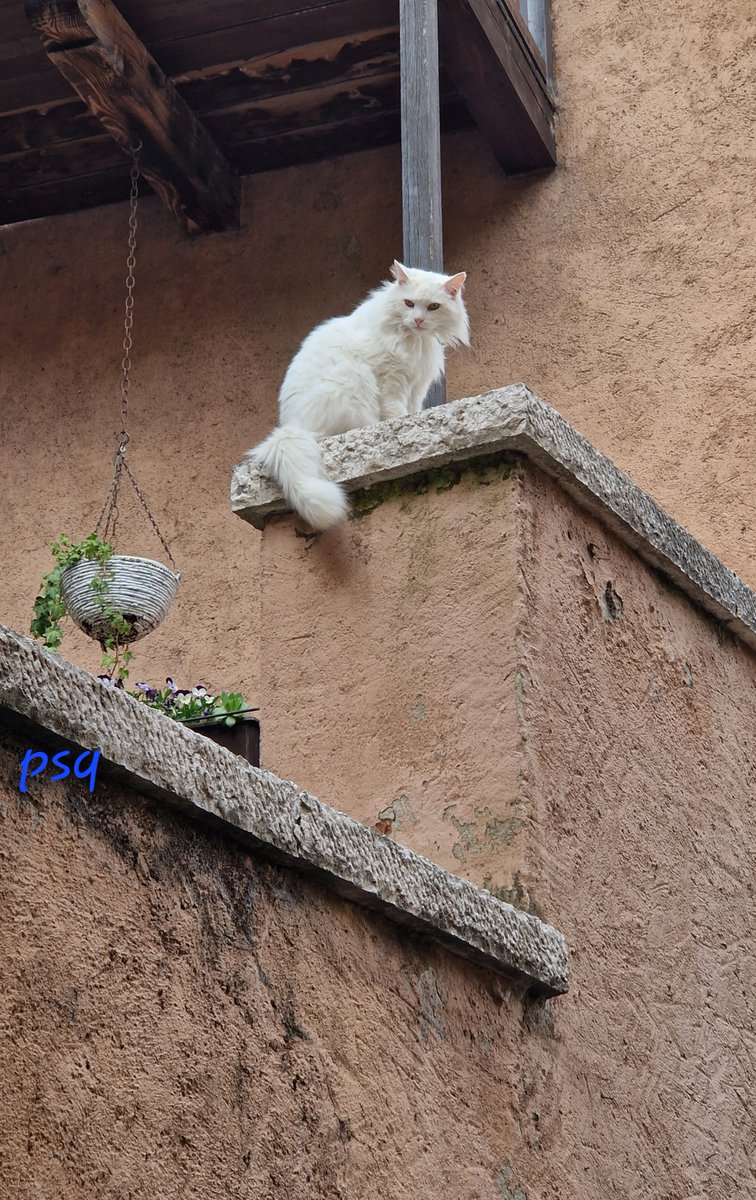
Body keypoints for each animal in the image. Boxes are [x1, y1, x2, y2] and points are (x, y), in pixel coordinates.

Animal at [248, 262, 470, 530]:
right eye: (408, 303)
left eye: (433, 307)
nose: (417, 319)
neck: (415, 339)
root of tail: (291, 427)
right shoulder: (390, 379)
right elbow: (396, 411)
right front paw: (401, 426)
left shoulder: (417, 386)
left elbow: (414, 410)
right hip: (354, 378)